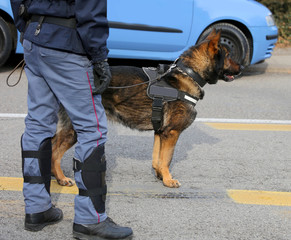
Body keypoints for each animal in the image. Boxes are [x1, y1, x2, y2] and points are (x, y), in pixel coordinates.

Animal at [51, 29, 243, 188]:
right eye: (228, 55)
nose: (242, 67)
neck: (189, 73)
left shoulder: (160, 132)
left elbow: (157, 159)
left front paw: (160, 175)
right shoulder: (172, 133)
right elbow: (167, 159)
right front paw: (168, 180)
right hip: (75, 130)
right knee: (54, 153)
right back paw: (61, 178)